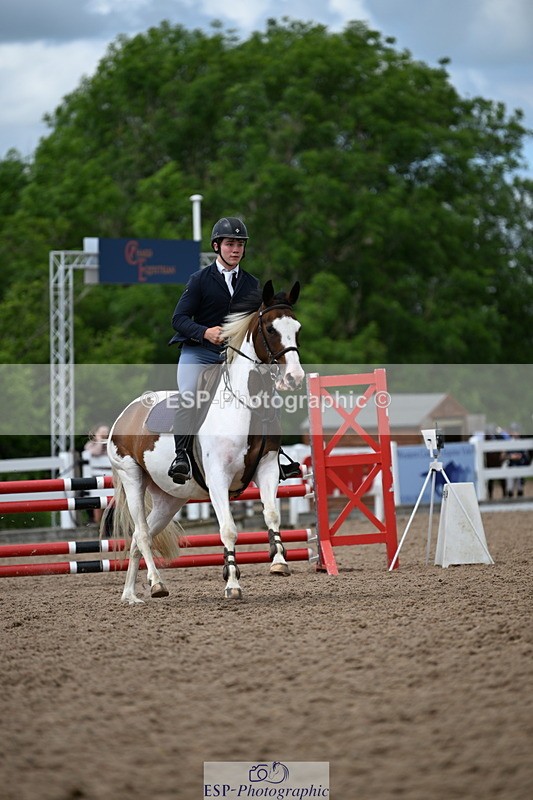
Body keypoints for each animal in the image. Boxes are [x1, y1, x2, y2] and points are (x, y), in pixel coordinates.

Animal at [103, 280, 304, 604]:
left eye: (296, 329)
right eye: (271, 329)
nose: (294, 378)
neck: (248, 404)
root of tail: (126, 414)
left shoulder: (267, 468)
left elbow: (272, 514)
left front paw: (279, 562)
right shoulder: (218, 479)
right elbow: (228, 530)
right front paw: (232, 583)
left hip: (170, 499)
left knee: (136, 538)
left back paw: (130, 595)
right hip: (132, 478)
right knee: (142, 534)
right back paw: (156, 584)